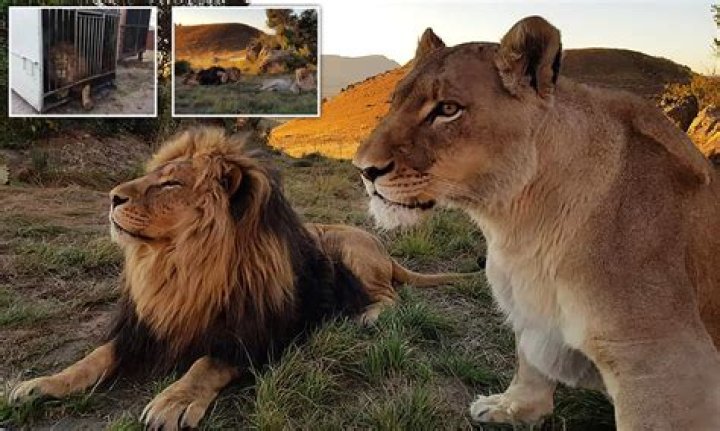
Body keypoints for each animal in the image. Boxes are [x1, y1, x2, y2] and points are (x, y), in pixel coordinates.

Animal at [8, 127, 473, 430]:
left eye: (170, 183)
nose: (112, 197)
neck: (181, 265)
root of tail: (385, 250)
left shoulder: (262, 333)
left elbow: (206, 362)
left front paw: (173, 401)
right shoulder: (143, 329)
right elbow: (92, 358)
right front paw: (38, 384)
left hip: (345, 245)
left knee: (390, 295)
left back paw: (368, 316)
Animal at [353, 16, 720, 429]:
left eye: (447, 109)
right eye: (394, 102)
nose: (364, 169)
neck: (516, 224)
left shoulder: (663, 361)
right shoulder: (530, 305)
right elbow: (529, 362)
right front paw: (512, 407)